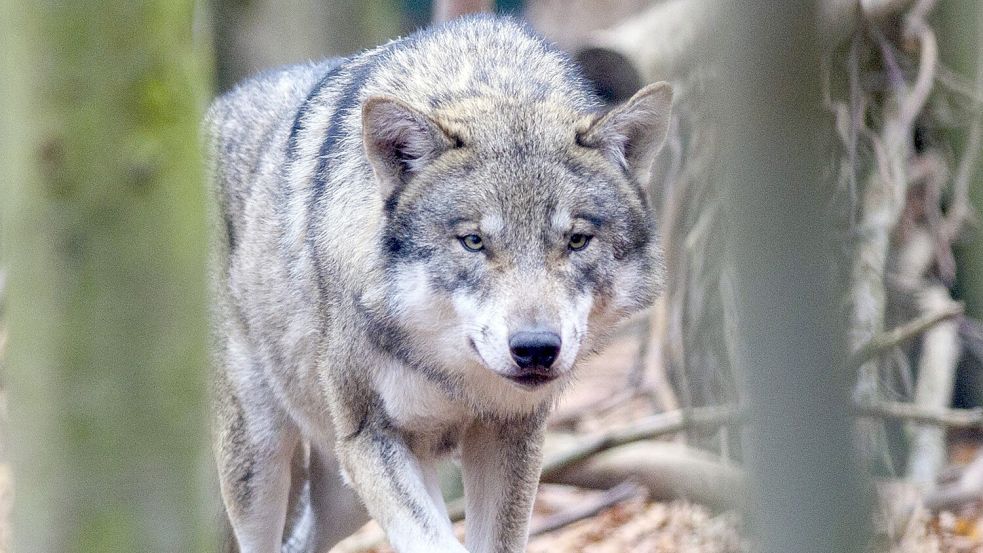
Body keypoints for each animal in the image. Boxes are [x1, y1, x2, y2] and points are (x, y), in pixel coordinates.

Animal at [205, 12, 672, 552]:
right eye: (473, 241)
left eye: (576, 240)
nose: (536, 348)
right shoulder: (372, 439)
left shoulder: (511, 434)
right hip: (264, 457)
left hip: (342, 497)